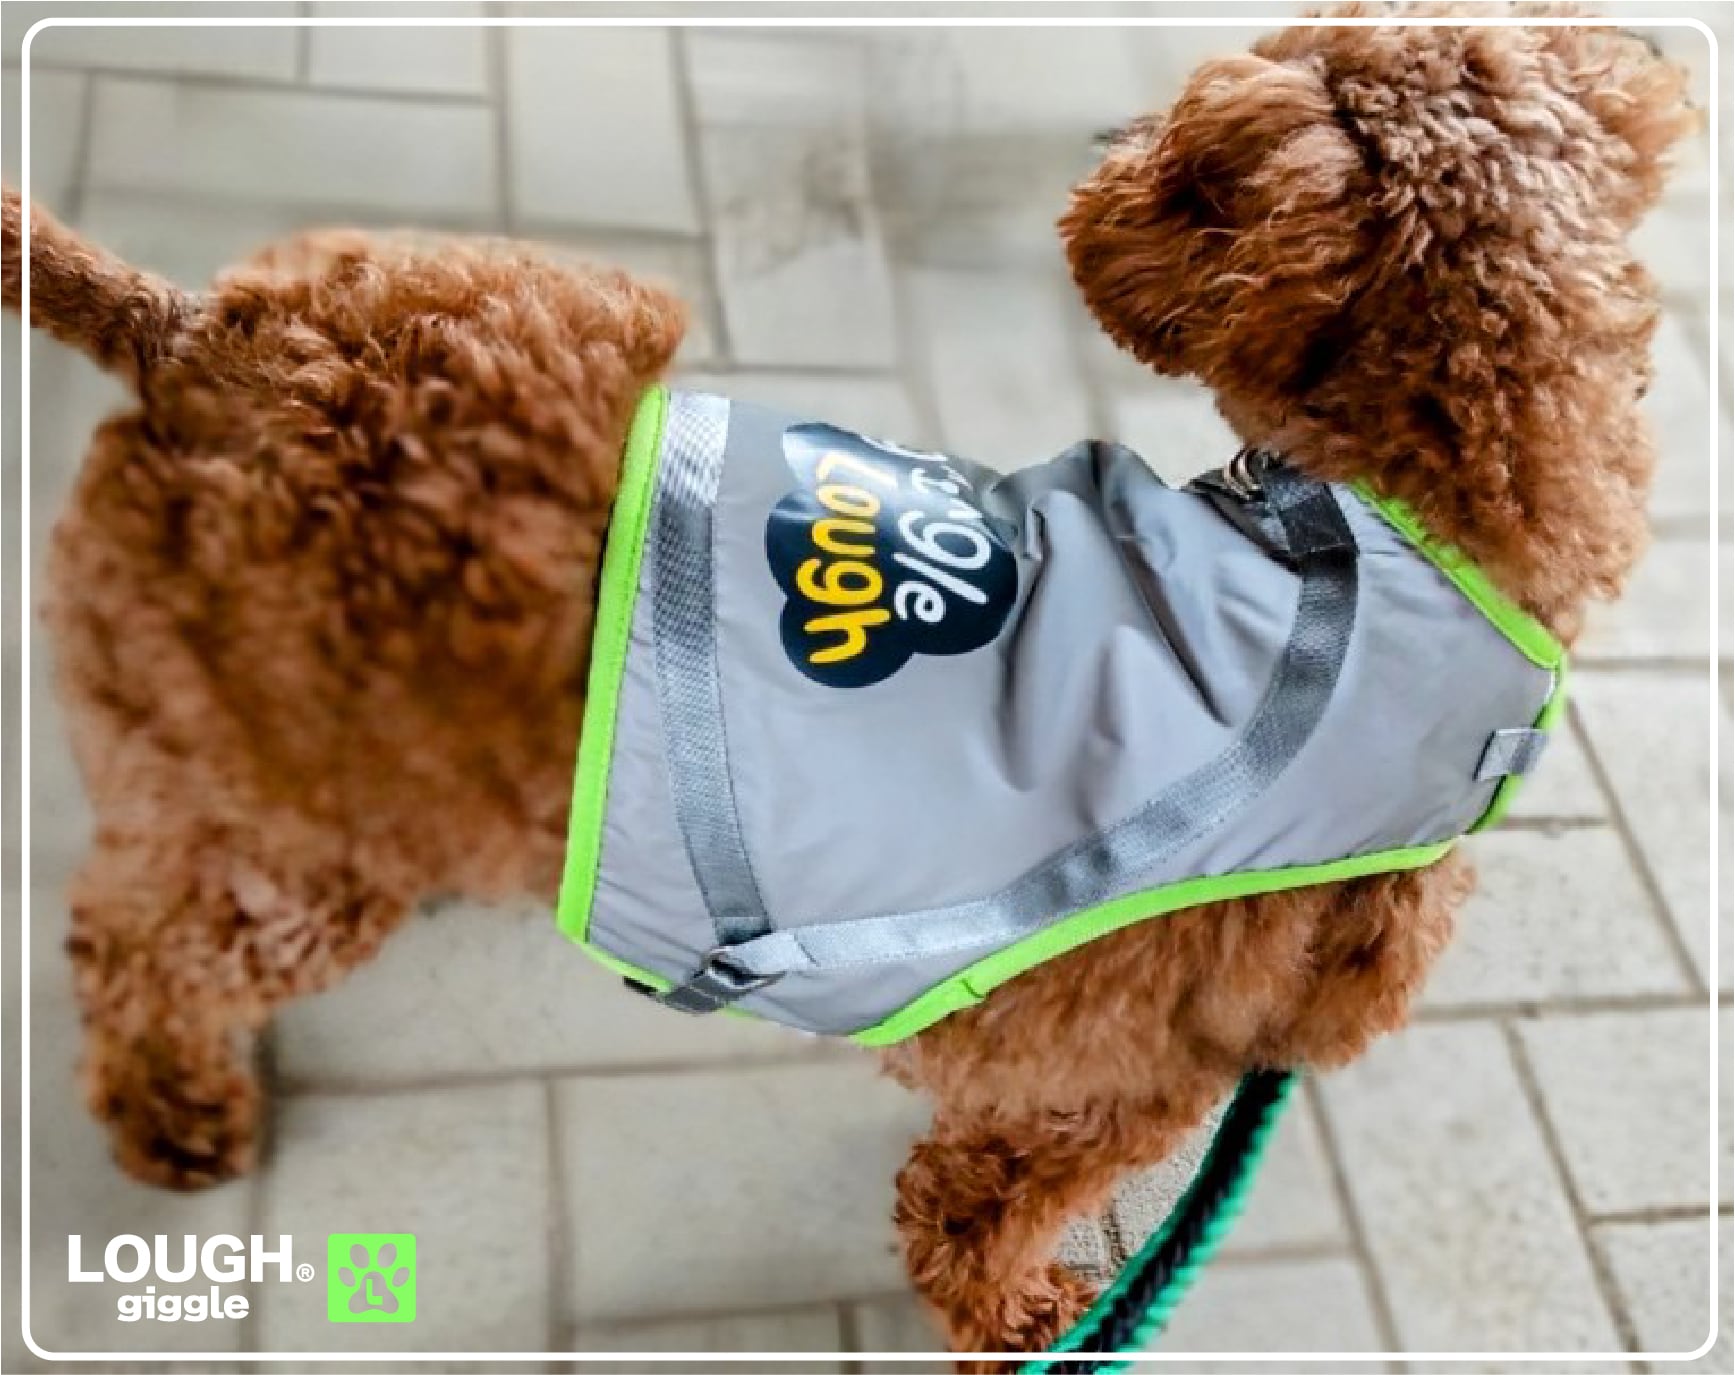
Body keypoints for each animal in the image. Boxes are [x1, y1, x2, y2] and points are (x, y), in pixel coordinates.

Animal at [1, 8, 1696, 1362]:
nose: (1097, 164)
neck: (1391, 531)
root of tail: (200, 346)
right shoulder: (1116, 1084)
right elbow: (974, 1207)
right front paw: (1020, 1320)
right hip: (283, 810)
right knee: (132, 942)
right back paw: (168, 1105)